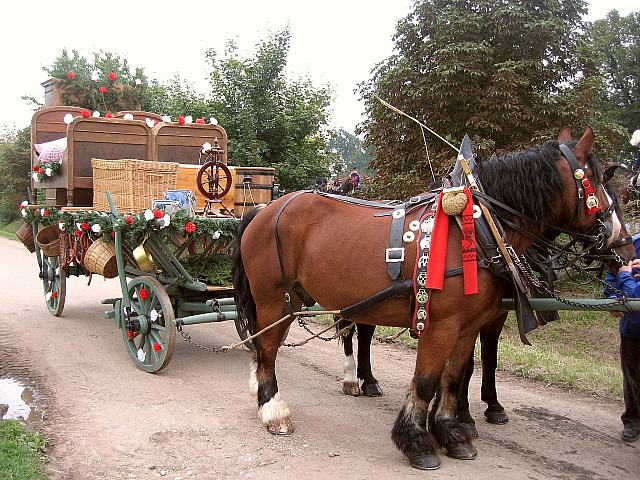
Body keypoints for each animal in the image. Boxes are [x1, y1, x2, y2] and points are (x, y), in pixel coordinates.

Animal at [231, 127, 636, 468]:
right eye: (594, 184)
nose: (623, 244)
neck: (479, 228)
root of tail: (265, 209)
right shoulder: (439, 324)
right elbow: (426, 380)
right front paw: (417, 441)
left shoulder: (469, 326)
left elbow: (454, 378)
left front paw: (451, 433)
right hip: (273, 298)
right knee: (269, 349)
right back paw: (274, 410)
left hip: (298, 299)